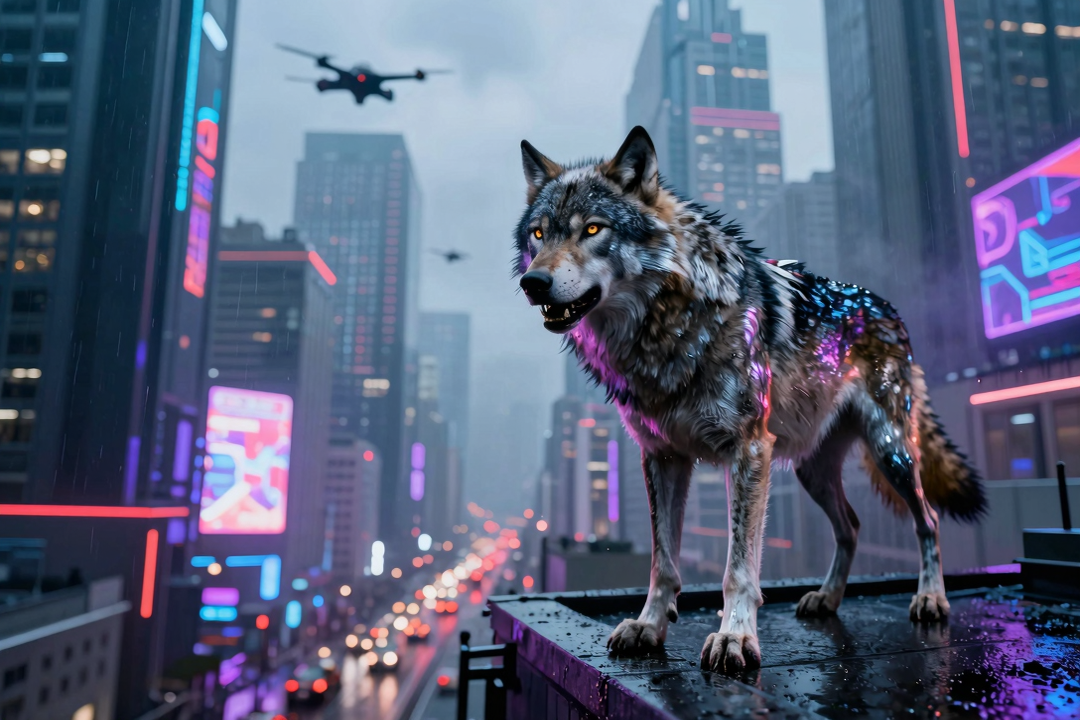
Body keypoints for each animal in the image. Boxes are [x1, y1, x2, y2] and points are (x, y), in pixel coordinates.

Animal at [512, 126, 985, 674]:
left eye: (592, 229)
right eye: (539, 235)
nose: (533, 283)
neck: (665, 329)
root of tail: (890, 309)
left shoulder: (748, 451)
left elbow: (738, 568)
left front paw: (735, 637)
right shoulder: (662, 457)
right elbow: (663, 562)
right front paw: (649, 626)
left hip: (891, 452)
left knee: (927, 520)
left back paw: (931, 598)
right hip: (809, 472)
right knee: (850, 526)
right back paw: (827, 598)